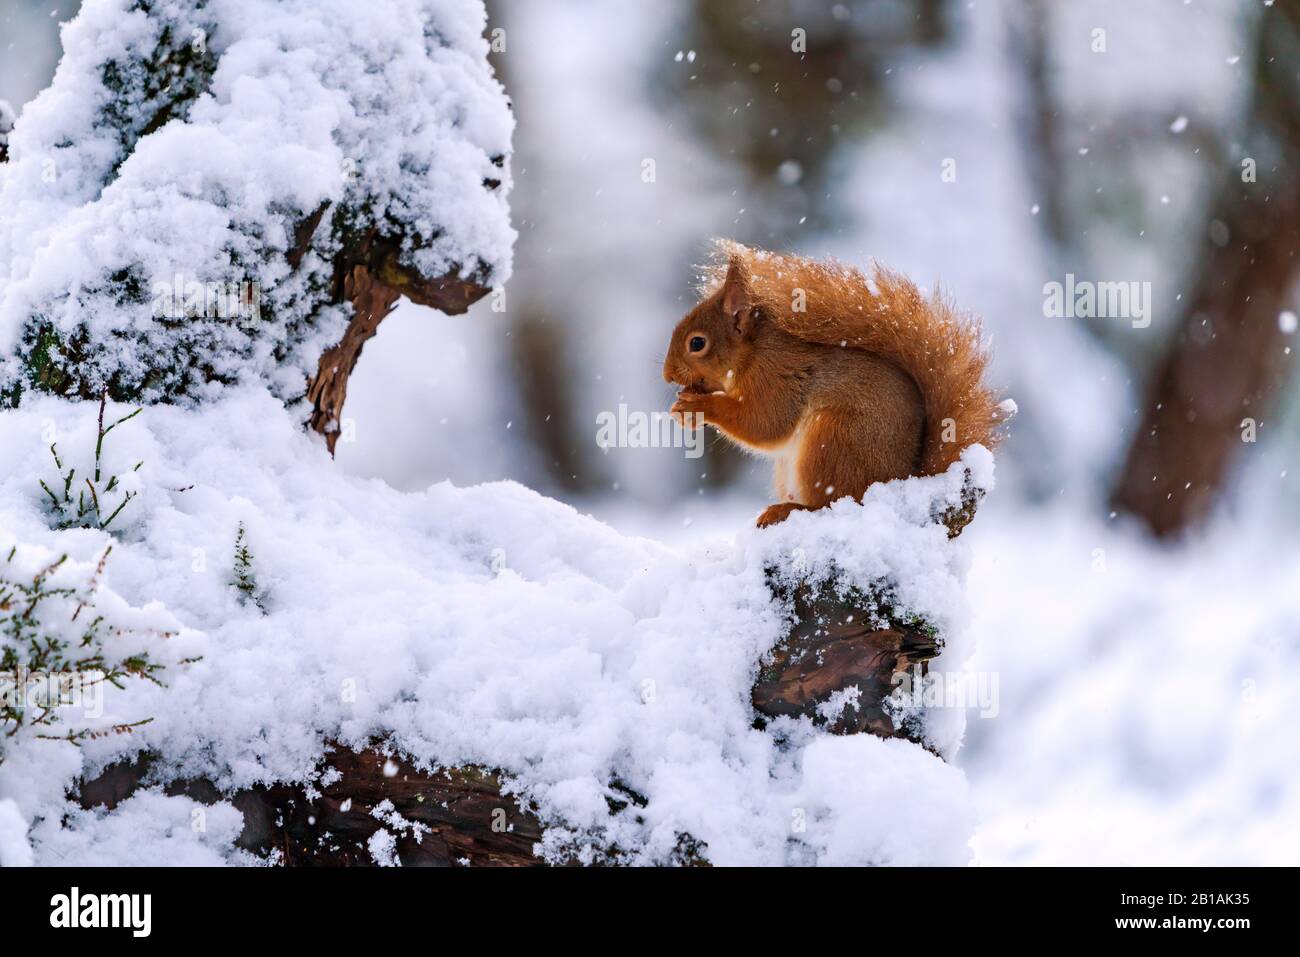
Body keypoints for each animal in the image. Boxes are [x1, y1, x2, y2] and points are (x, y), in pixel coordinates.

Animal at [665, 237, 998, 522]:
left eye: (697, 343)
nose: (667, 375)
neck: (752, 355)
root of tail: (905, 478)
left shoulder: (777, 379)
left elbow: (764, 423)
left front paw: (699, 407)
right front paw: (683, 410)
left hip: (834, 438)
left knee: (830, 502)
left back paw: (787, 510)